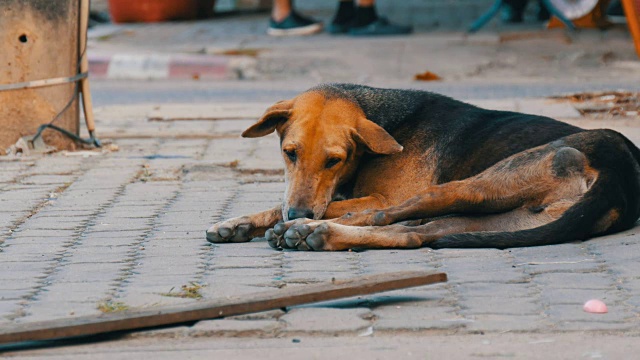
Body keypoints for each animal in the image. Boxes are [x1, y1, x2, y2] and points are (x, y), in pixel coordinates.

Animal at [208, 83, 640, 250]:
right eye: (290, 153)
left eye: (334, 160)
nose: (299, 211)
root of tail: (622, 176)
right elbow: (281, 204)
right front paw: (239, 222)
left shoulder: (375, 195)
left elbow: (338, 204)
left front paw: (283, 220)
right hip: (495, 220)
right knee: (414, 235)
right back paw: (317, 233)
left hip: (472, 186)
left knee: (387, 217)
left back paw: (310, 230)